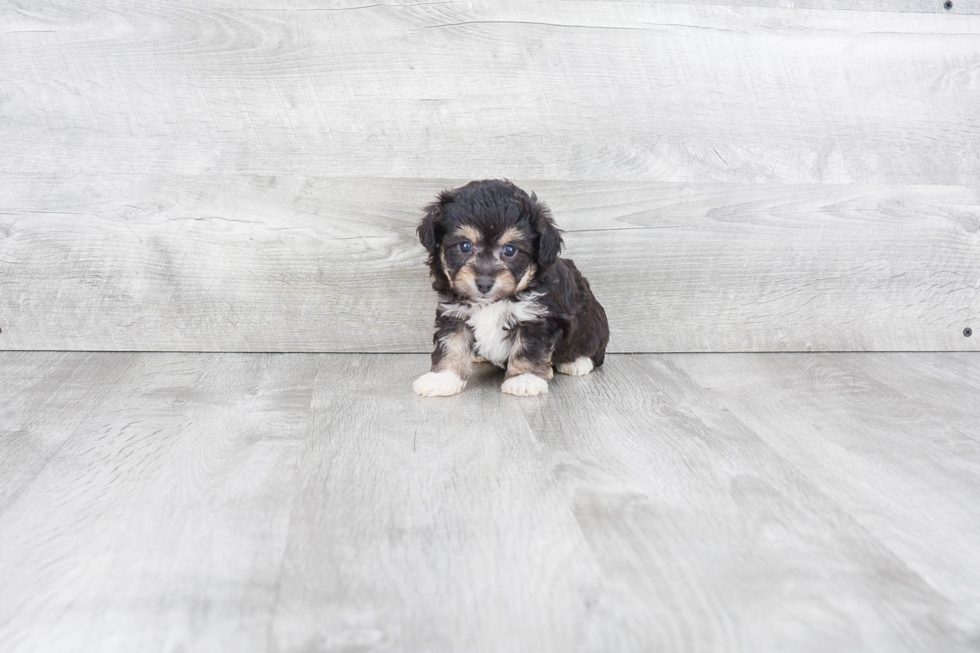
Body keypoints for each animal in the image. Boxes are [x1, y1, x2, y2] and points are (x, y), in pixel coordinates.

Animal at [412, 177, 604, 398]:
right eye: (464, 246)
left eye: (510, 250)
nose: (484, 283)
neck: (493, 302)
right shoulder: (453, 313)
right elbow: (452, 344)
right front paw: (443, 378)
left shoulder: (537, 318)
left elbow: (527, 350)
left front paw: (524, 379)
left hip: (591, 324)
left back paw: (577, 362)